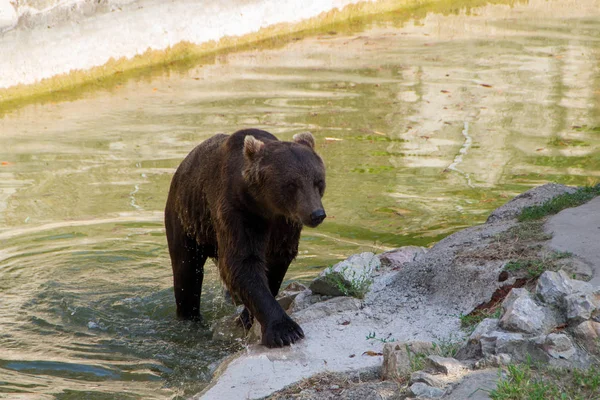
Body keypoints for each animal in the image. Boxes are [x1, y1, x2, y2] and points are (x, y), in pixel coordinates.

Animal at [164, 128, 326, 346]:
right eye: (292, 184)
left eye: (318, 181)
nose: (316, 214)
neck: (267, 207)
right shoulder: (239, 212)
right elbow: (242, 262)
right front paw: (286, 331)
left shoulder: (285, 225)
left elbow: (275, 264)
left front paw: (247, 317)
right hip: (187, 219)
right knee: (186, 272)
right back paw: (190, 317)